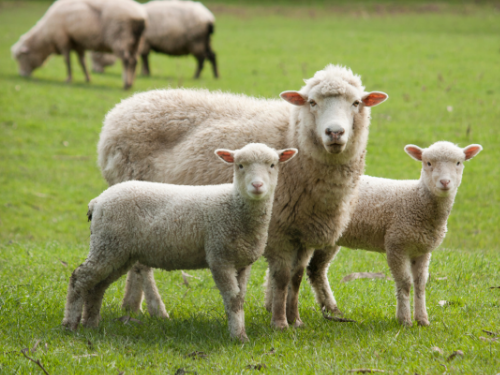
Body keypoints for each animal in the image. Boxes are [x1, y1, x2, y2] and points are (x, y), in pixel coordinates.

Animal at [62, 142, 296, 342]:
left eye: (272, 165)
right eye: (240, 165)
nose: (257, 185)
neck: (233, 206)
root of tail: (98, 201)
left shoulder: (242, 262)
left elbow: (240, 298)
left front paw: (239, 332)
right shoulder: (219, 257)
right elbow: (232, 299)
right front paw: (239, 337)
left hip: (118, 251)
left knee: (97, 285)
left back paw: (91, 324)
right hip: (107, 243)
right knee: (79, 278)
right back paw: (70, 325)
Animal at [89, 0, 217, 79]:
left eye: (98, 56)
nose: (95, 71)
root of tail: (208, 17)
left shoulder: (145, 43)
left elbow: (144, 57)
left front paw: (145, 73)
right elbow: (144, 57)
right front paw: (144, 72)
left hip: (197, 41)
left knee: (202, 59)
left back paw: (196, 76)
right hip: (205, 41)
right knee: (212, 55)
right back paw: (216, 76)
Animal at [95, 64, 388, 328]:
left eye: (357, 103)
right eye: (312, 102)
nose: (335, 132)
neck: (291, 136)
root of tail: (121, 109)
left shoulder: (304, 230)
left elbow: (296, 278)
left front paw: (295, 319)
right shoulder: (278, 231)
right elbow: (282, 277)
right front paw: (279, 322)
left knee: (135, 261)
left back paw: (131, 307)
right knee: (142, 267)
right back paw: (157, 310)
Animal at [306, 142, 482, 328]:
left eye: (458, 163)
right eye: (428, 163)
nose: (445, 182)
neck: (416, 200)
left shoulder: (422, 249)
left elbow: (420, 283)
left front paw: (422, 319)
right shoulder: (396, 244)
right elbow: (404, 283)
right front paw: (404, 320)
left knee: (316, 270)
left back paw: (332, 309)